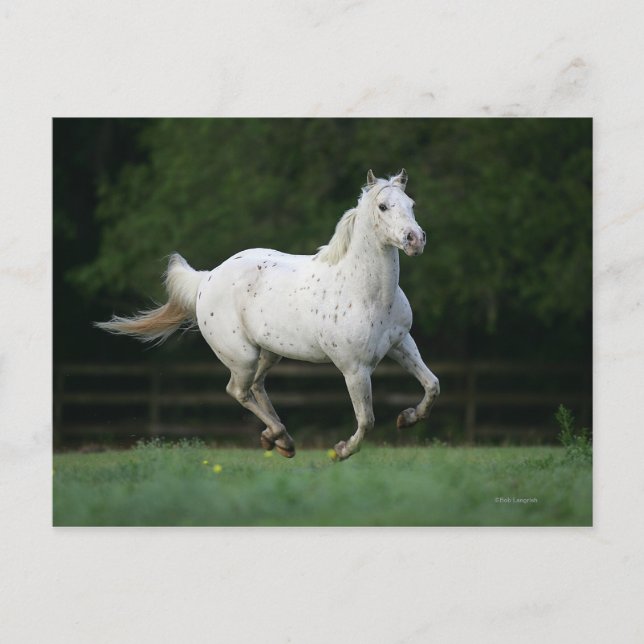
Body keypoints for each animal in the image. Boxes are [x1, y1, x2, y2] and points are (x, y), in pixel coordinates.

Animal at [96, 169, 440, 460]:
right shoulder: (354, 369)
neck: (366, 292)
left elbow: (432, 385)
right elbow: (367, 419)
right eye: (382, 206)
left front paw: (408, 418)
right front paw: (341, 451)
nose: (415, 239)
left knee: (256, 387)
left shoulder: (401, 344)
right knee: (238, 390)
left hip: (269, 352)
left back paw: (278, 439)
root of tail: (207, 279)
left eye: (411, 204)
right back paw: (280, 437)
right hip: (242, 356)